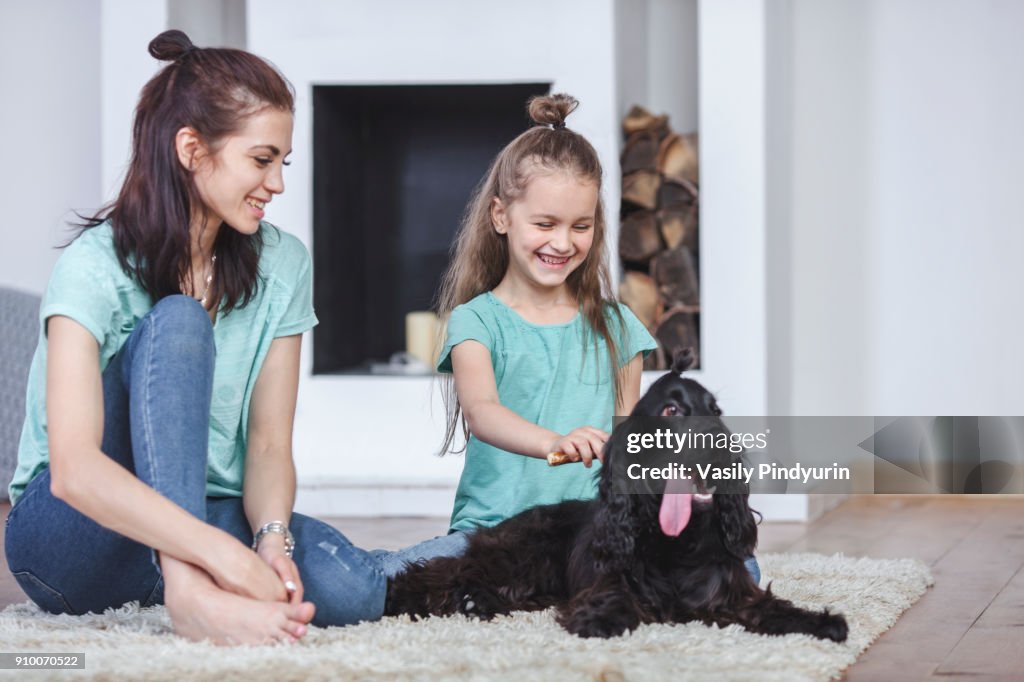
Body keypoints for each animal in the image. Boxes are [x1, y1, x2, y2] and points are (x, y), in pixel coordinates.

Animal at [385, 348, 847, 638]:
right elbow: (613, 596)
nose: (721, 441)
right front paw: (601, 619)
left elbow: (770, 607)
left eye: (716, 411)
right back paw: (401, 592)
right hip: (521, 557)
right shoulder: (611, 578)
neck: (678, 542)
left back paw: (475, 602)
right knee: (443, 570)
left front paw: (821, 622)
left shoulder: (728, 593)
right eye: (671, 410)